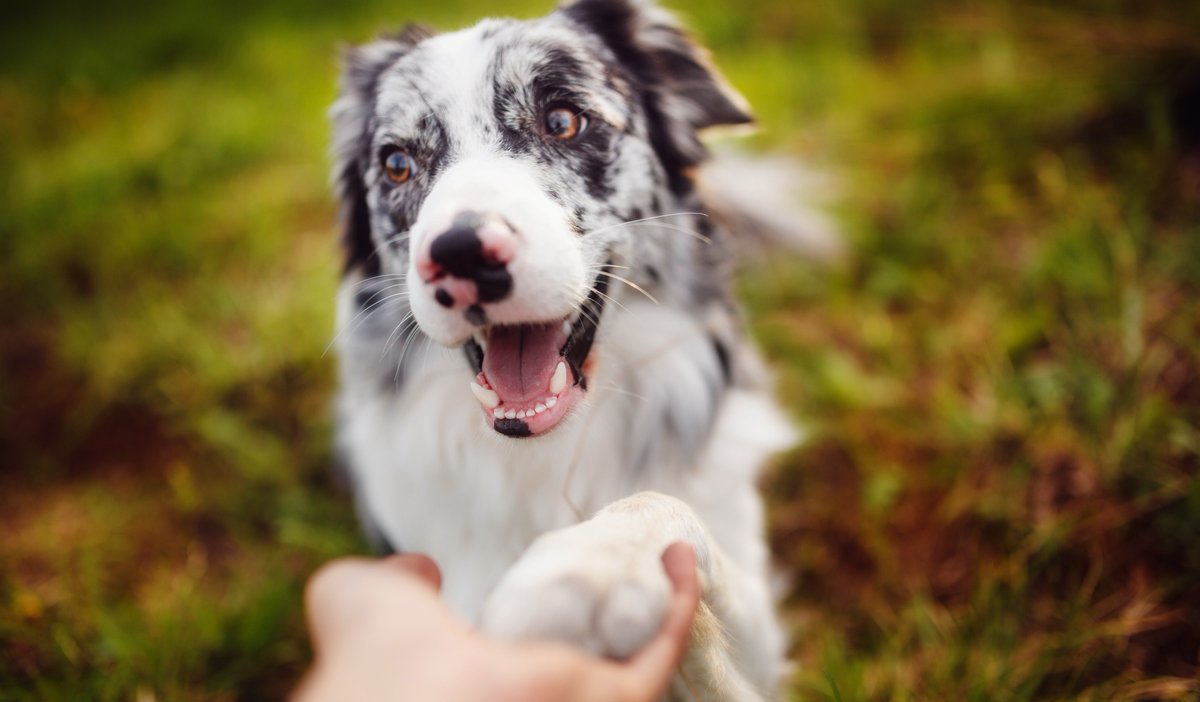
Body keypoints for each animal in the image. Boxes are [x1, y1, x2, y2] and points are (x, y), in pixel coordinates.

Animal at [333, 2, 811, 696]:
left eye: (563, 122)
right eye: (397, 163)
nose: (460, 253)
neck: (550, 453)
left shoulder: (762, 643)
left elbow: (663, 509)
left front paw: (590, 570)